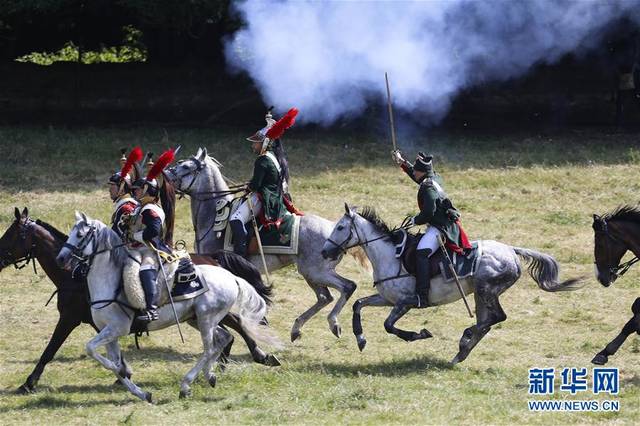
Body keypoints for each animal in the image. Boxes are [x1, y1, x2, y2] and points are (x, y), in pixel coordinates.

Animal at [0, 206, 280, 392]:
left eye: (11, 234)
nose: (62, 259)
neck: (77, 276)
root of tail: (213, 258)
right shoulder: (100, 323)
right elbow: (111, 354)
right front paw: (123, 375)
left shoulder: (71, 319)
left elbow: (49, 350)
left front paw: (28, 383)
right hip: (194, 317)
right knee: (226, 333)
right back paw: (219, 367)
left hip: (204, 316)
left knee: (234, 326)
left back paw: (257, 356)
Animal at [165, 148, 368, 342]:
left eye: (186, 167)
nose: (165, 175)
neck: (215, 216)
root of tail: (334, 230)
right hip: (311, 274)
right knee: (325, 297)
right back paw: (297, 329)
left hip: (316, 272)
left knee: (347, 287)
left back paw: (333, 323)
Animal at [322, 205, 584, 364]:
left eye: (341, 227)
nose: (325, 252)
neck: (389, 254)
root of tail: (511, 250)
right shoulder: (388, 299)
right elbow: (358, 304)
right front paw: (360, 338)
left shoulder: (406, 302)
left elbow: (388, 325)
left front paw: (418, 335)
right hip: (480, 295)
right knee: (487, 321)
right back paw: (461, 352)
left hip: (486, 290)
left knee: (495, 318)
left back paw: (465, 339)